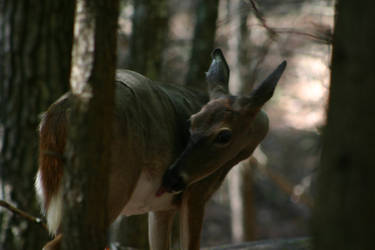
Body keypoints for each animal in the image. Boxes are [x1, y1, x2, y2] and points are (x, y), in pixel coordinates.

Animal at [36, 48, 288, 250]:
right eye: (190, 122)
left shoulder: (161, 208)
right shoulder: (195, 194)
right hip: (112, 187)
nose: (171, 178)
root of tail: (59, 113)